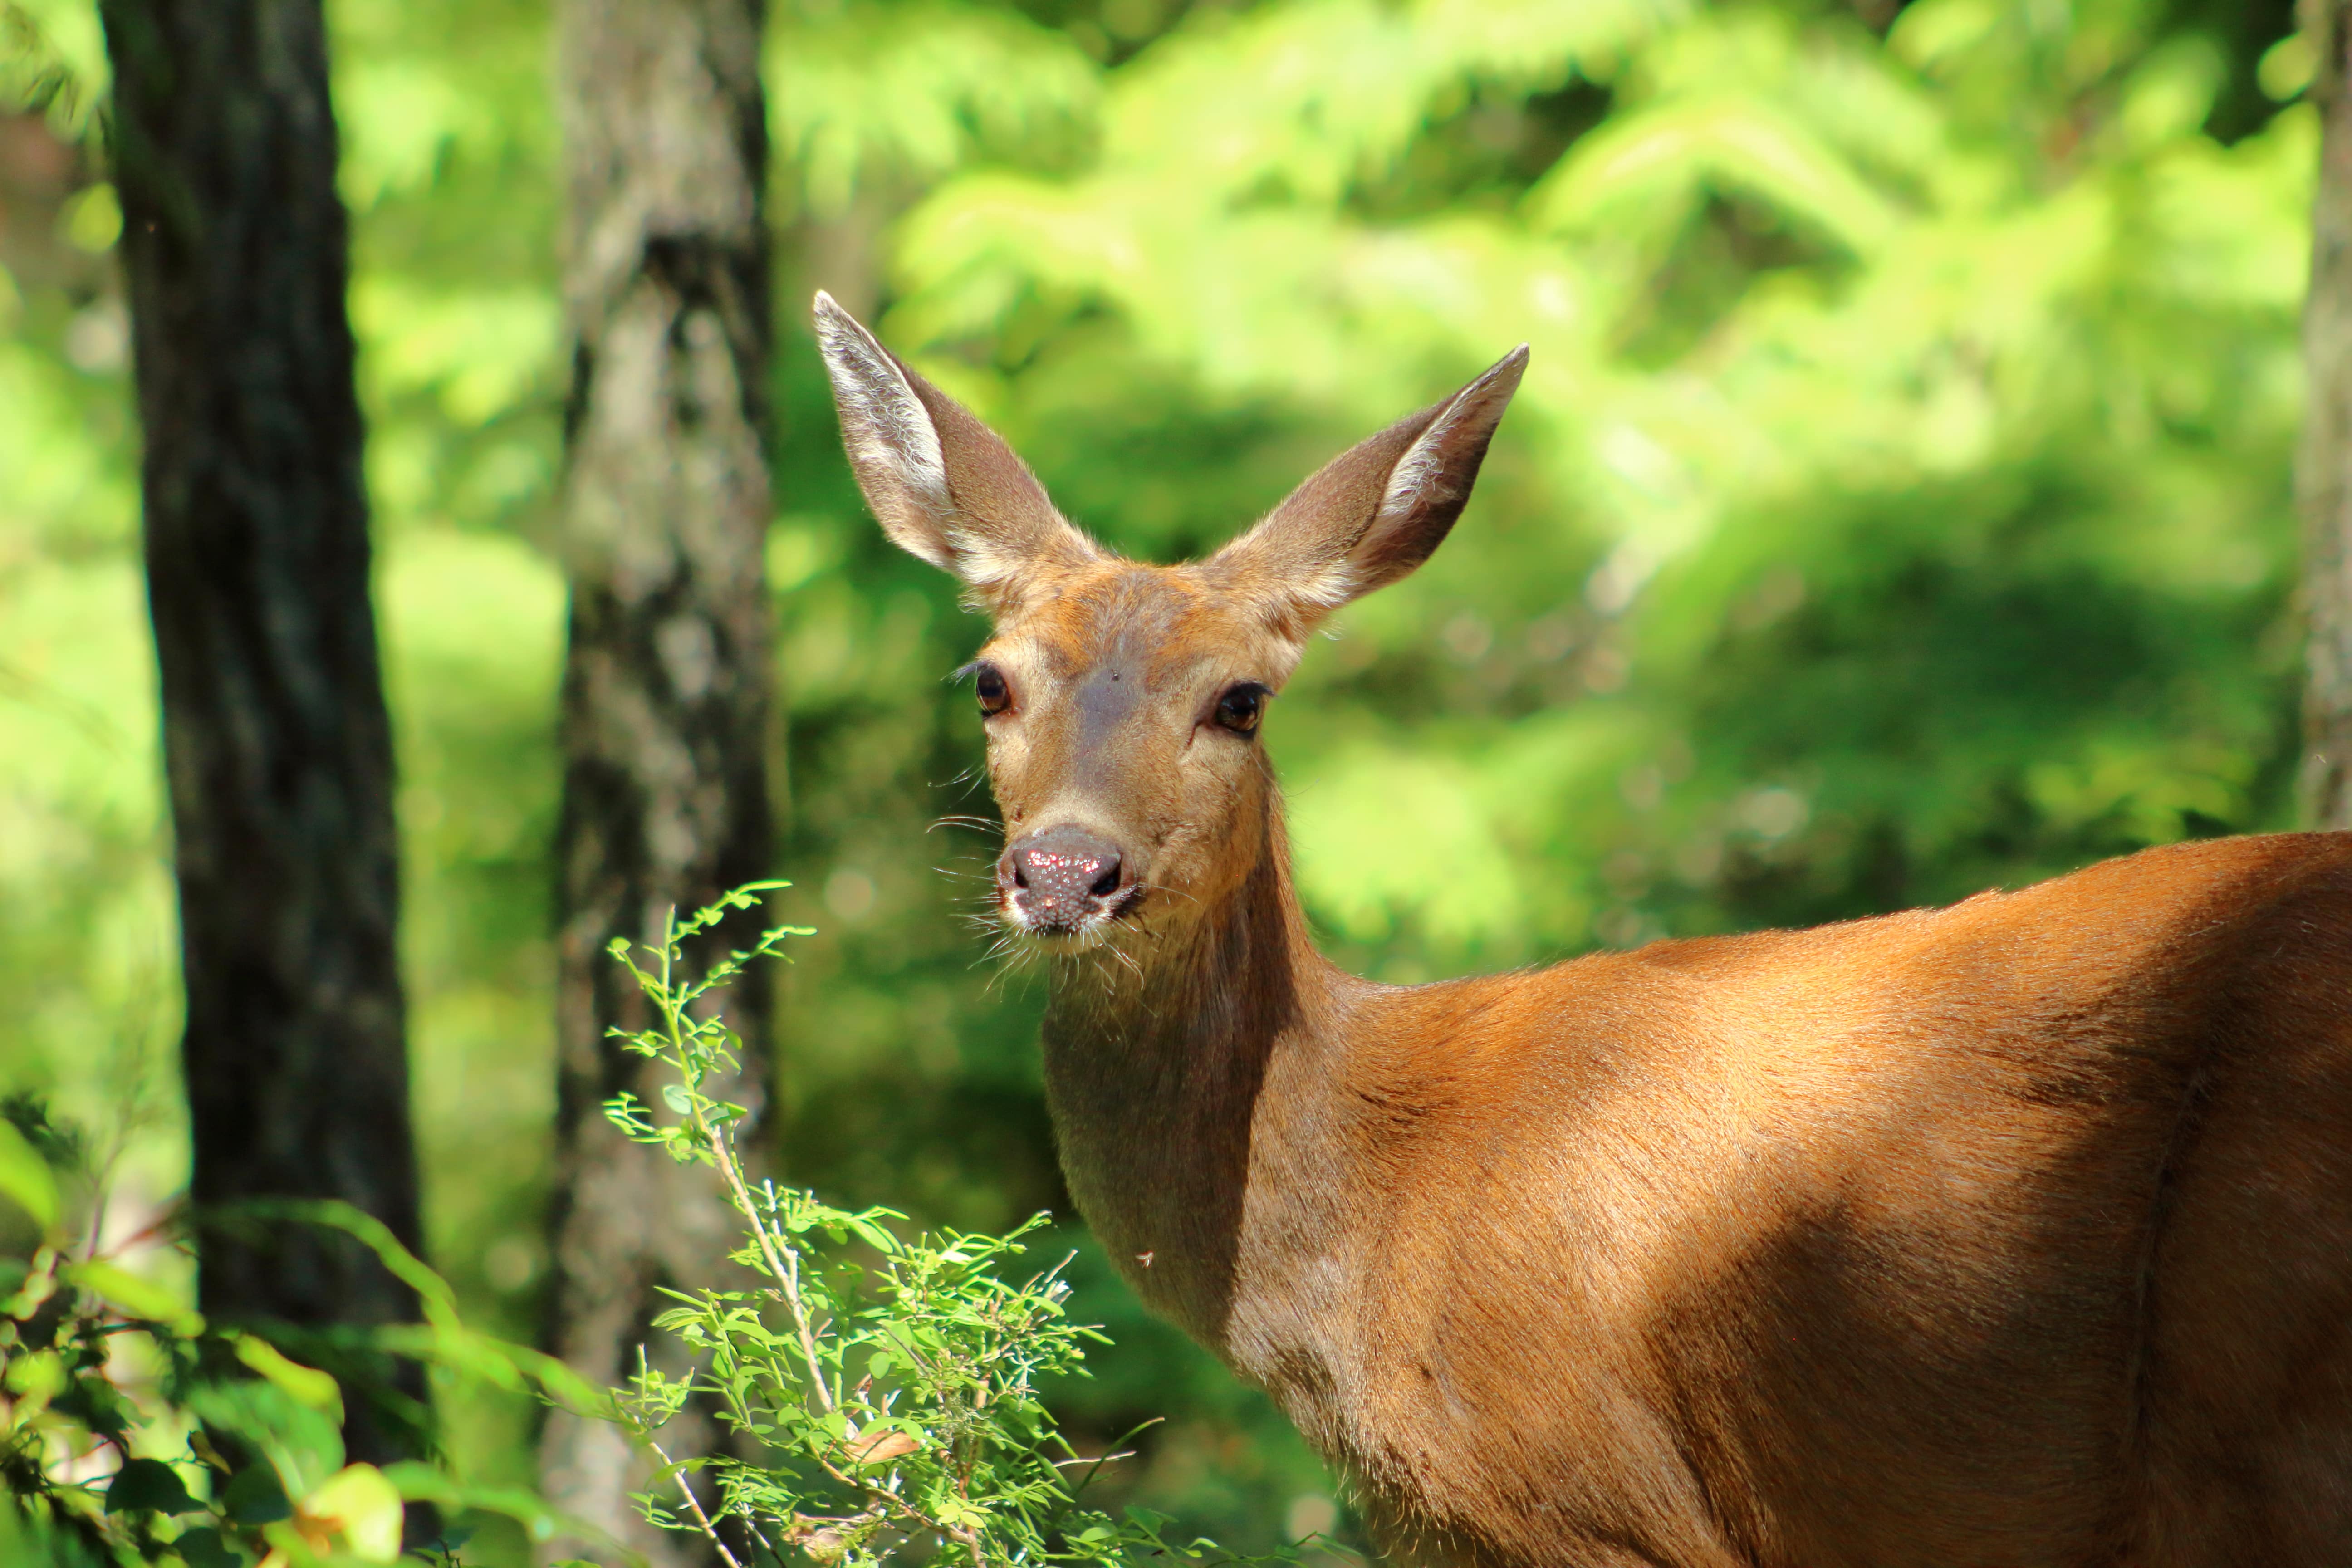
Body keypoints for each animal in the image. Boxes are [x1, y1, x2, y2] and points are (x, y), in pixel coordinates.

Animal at [813, 288, 2352, 1561]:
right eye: (991, 681)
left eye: (1241, 699)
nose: (1067, 873)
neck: (1370, 1206)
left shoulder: (1589, 1497)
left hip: (2259, 1388)